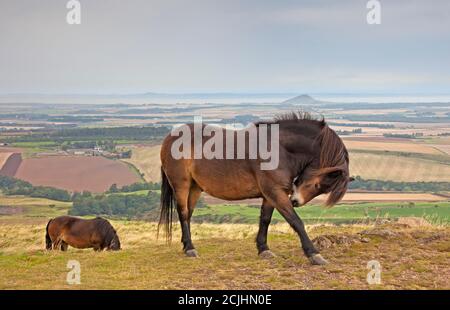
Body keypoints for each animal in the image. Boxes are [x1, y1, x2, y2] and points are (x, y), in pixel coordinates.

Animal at [160, 112, 354, 266]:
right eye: (318, 185)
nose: (296, 201)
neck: (279, 148)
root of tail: (170, 137)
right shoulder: (275, 192)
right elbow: (295, 221)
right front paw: (314, 254)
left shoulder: (270, 195)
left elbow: (265, 219)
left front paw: (263, 249)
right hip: (182, 185)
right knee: (183, 212)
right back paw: (190, 248)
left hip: (195, 188)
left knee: (188, 214)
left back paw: (186, 244)